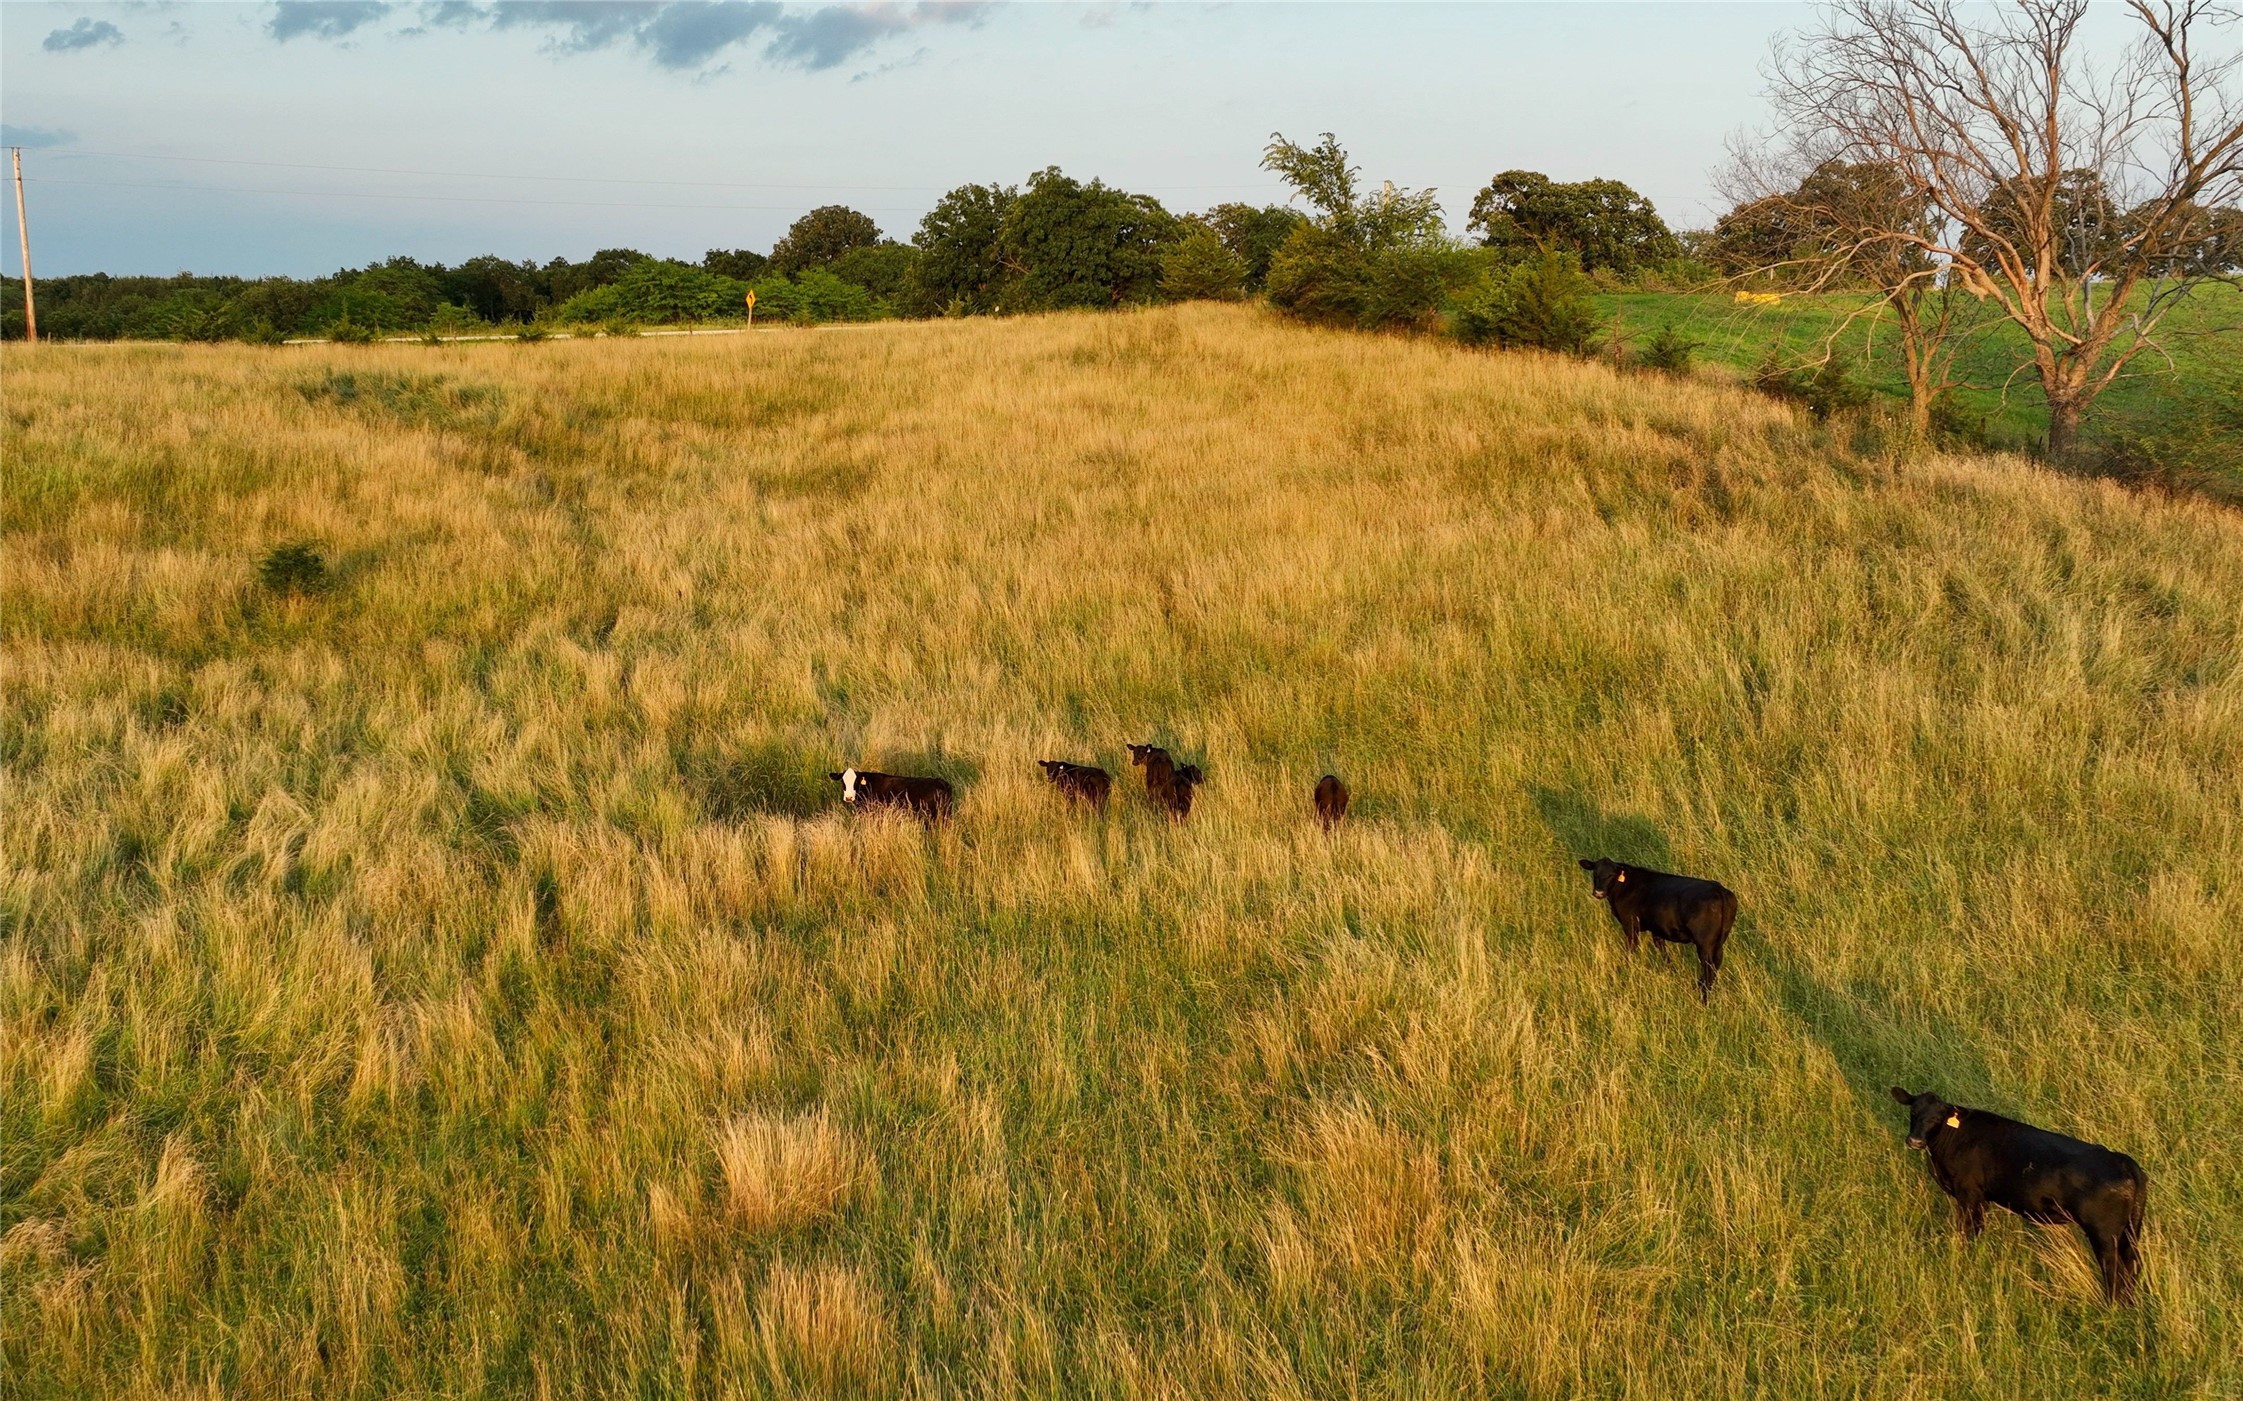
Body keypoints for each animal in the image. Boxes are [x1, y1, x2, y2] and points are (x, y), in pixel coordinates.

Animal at [1579, 851, 1731, 995]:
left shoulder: (1630, 925)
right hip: (1718, 943)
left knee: (1708, 969)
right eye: (1595, 873)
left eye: (1611, 875)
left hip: (1704, 943)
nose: (1598, 892)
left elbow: (1630, 951)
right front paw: (1672, 972)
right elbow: (1663, 951)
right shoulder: (1657, 929)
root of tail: (1718, 889)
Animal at [1893, 1080, 2153, 1300]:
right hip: (2130, 1229)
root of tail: (2121, 1159)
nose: (1915, 1141)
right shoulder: (1980, 1198)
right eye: (1914, 1112)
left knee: (2113, 1266)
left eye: (1937, 1118)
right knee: (2132, 1263)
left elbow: (1967, 1231)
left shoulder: (1968, 1194)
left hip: (2104, 1232)